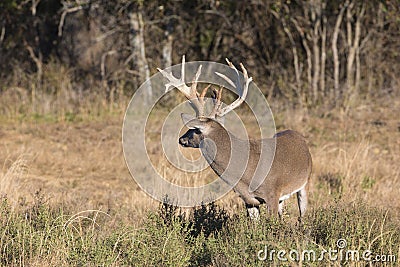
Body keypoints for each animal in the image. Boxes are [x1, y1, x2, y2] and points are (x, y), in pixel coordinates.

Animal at [157, 55, 312, 221]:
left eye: (195, 129)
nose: (181, 139)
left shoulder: (273, 193)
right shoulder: (249, 200)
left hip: (305, 183)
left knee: (303, 215)